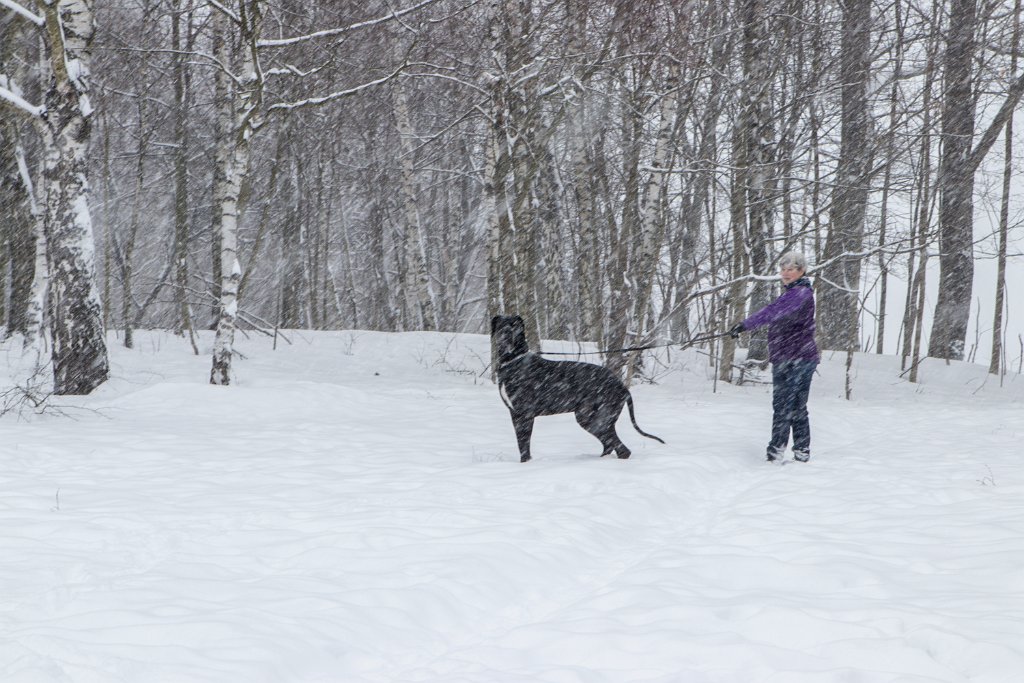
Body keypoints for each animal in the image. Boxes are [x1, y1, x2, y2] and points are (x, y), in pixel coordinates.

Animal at [493, 317, 667, 464]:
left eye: (515, 325)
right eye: (501, 324)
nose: (506, 332)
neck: (513, 360)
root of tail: (622, 386)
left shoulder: (524, 414)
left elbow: (524, 444)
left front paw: (525, 464)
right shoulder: (515, 414)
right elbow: (521, 443)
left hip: (592, 417)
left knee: (621, 449)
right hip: (598, 419)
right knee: (611, 444)